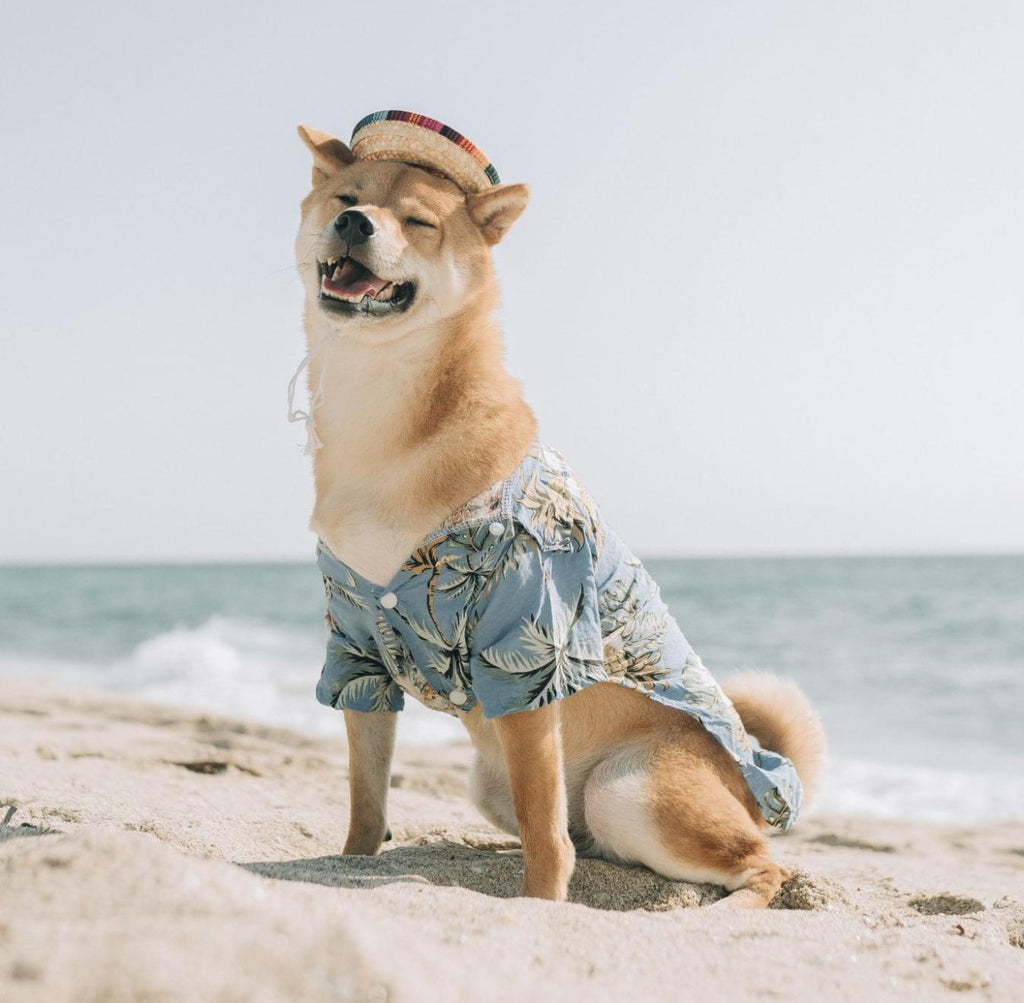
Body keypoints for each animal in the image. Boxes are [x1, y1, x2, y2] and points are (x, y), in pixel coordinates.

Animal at [290, 113, 823, 905]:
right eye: (347, 198)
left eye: (417, 220)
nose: (355, 223)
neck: (381, 422)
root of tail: (754, 777)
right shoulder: (356, 644)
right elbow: (366, 797)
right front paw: (352, 860)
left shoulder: (528, 643)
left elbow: (544, 828)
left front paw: (541, 905)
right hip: (498, 785)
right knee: (595, 842)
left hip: (625, 789)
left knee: (762, 865)